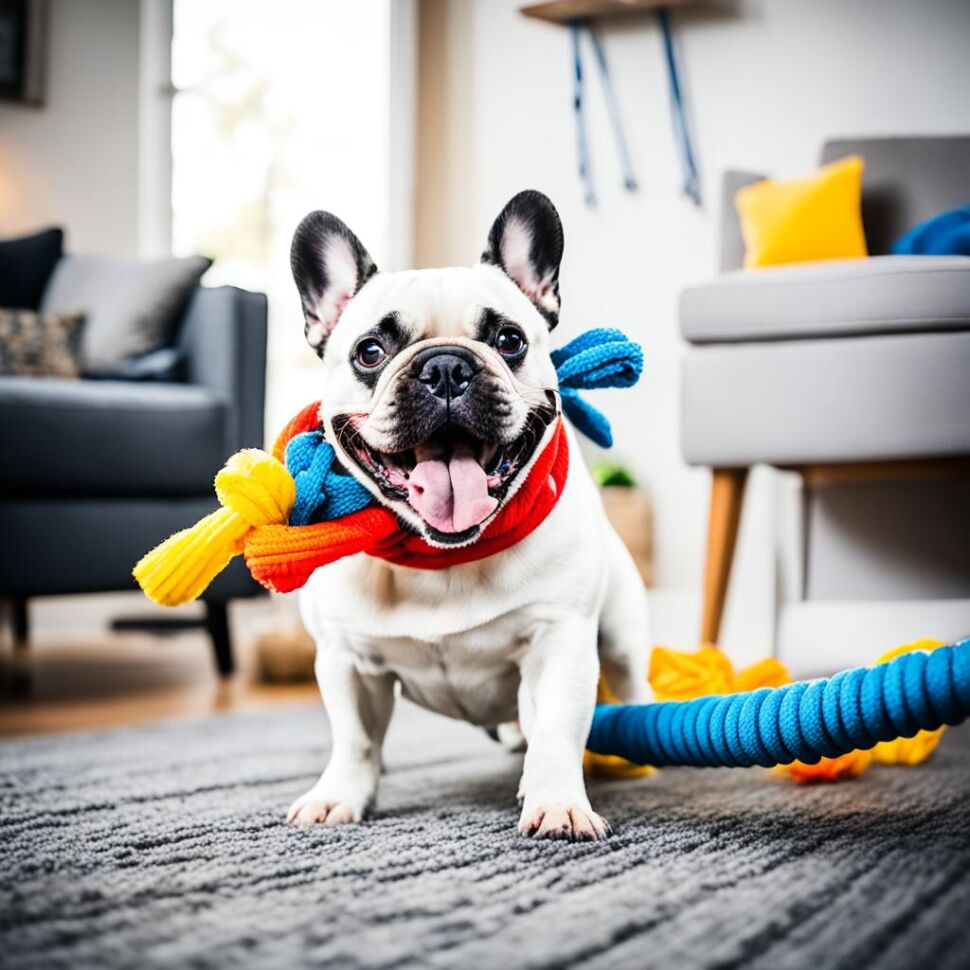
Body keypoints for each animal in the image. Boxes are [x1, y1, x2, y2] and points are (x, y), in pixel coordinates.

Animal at [288, 191, 652, 840]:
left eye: (509, 341)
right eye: (370, 352)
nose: (446, 367)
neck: (441, 556)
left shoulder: (560, 641)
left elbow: (555, 731)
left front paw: (558, 802)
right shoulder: (346, 660)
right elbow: (354, 739)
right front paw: (338, 796)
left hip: (622, 631)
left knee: (632, 681)